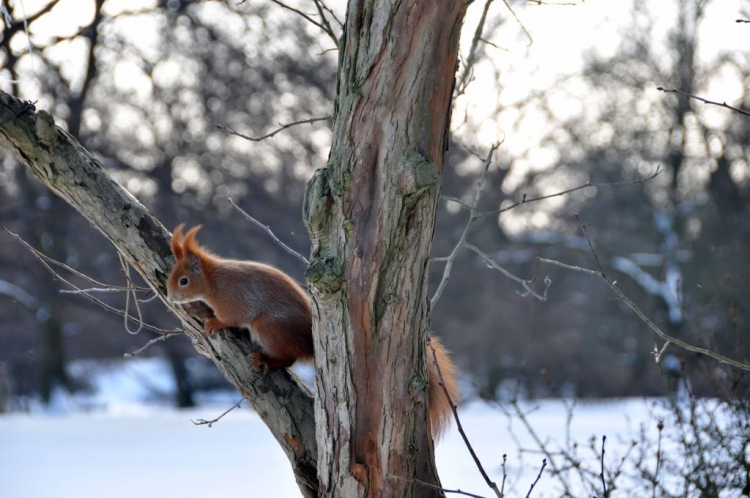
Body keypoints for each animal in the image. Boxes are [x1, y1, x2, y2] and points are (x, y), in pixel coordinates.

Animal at [166, 224, 458, 438]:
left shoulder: (233, 300)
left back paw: (265, 359)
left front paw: (214, 323)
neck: (213, 281)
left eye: (184, 280)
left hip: (268, 328)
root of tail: (308, 342)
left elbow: (232, 318)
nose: (169, 297)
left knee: (288, 359)